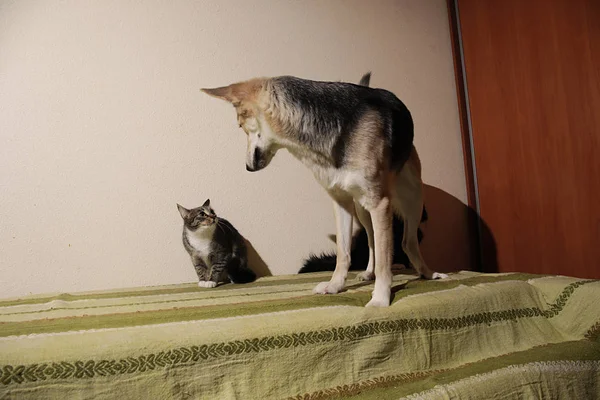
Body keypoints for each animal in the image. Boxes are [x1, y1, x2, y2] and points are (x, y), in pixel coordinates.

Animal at [177, 72, 446, 310]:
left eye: (241, 125)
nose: (248, 168)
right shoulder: (341, 203)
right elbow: (344, 253)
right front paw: (335, 286)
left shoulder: (379, 203)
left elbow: (383, 260)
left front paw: (380, 298)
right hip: (362, 210)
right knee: (371, 241)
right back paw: (368, 272)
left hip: (411, 198)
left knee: (407, 241)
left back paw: (428, 273)